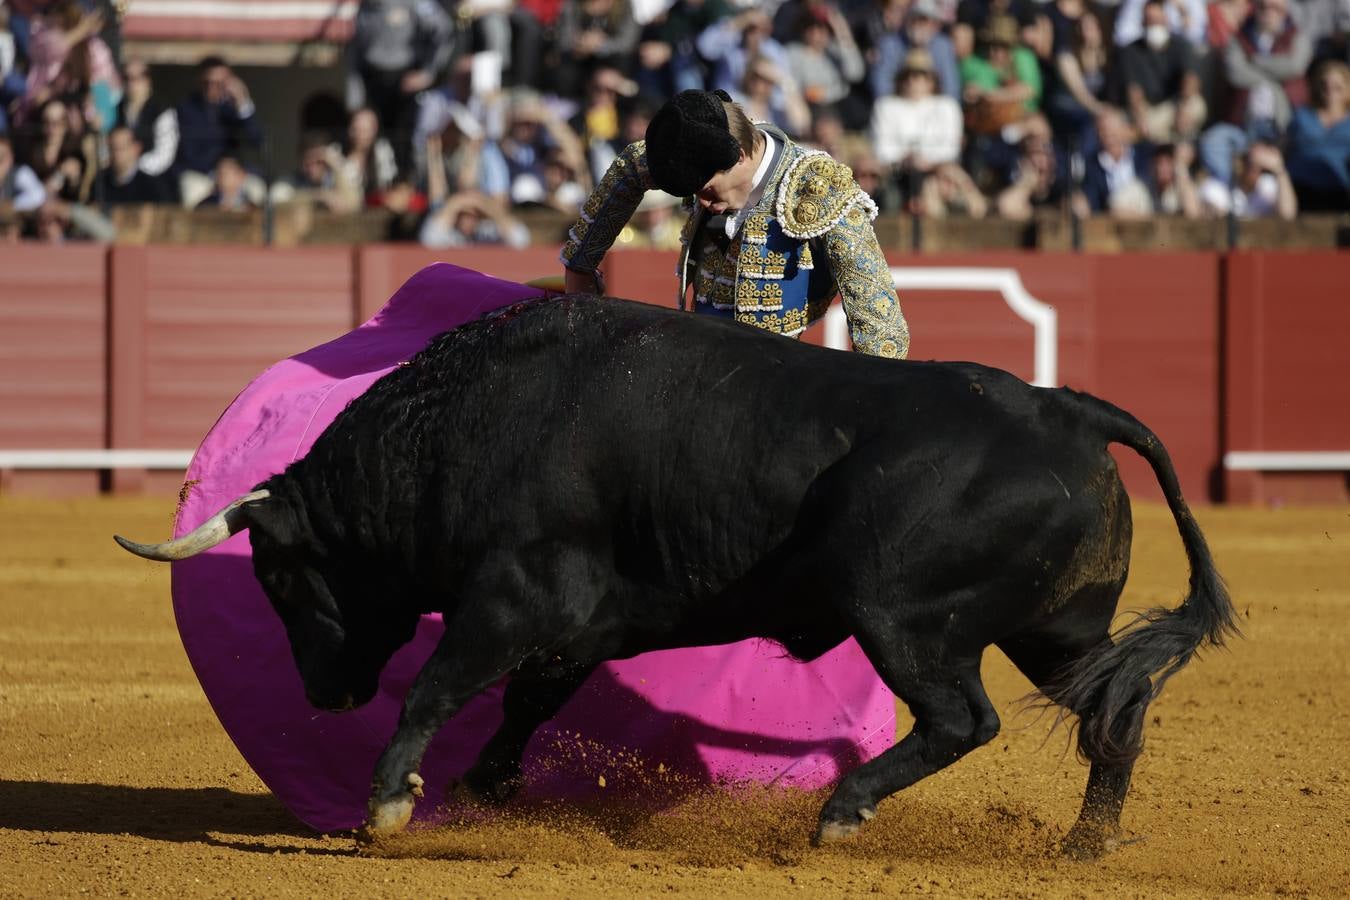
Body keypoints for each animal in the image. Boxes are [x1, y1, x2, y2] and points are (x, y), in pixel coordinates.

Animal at [116, 295, 1236, 858]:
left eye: (279, 576)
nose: (326, 694)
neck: (455, 429)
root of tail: (1069, 408)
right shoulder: (582, 624)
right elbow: (526, 702)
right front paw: (488, 788)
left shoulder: (518, 596)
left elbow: (440, 687)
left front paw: (389, 808)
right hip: (1055, 632)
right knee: (1116, 711)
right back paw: (1085, 843)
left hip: (904, 617)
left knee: (966, 720)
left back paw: (841, 814)